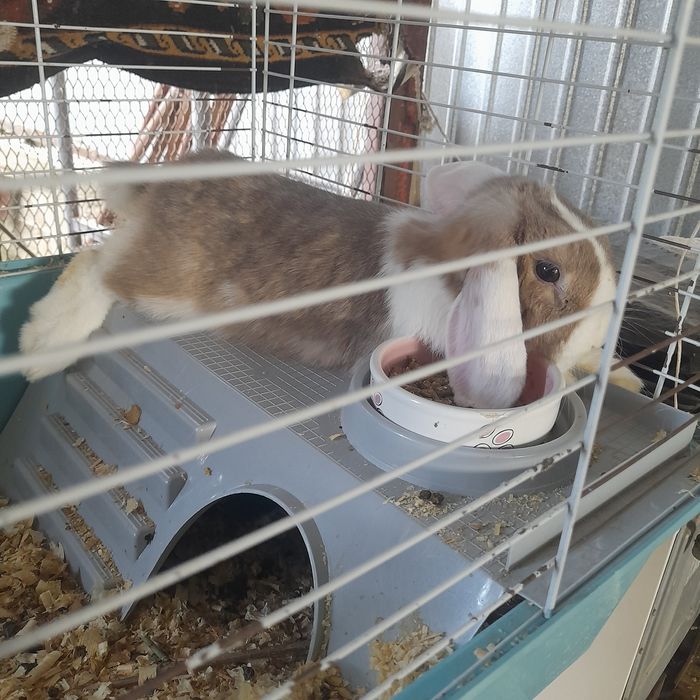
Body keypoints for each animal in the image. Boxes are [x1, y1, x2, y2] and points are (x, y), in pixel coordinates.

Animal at [18, 149, 642, 408]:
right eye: (547, 270)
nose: (600, 331)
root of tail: (154, 189)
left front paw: (627, 378)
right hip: (164, 283)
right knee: (94, 262)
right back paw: (40, 346)